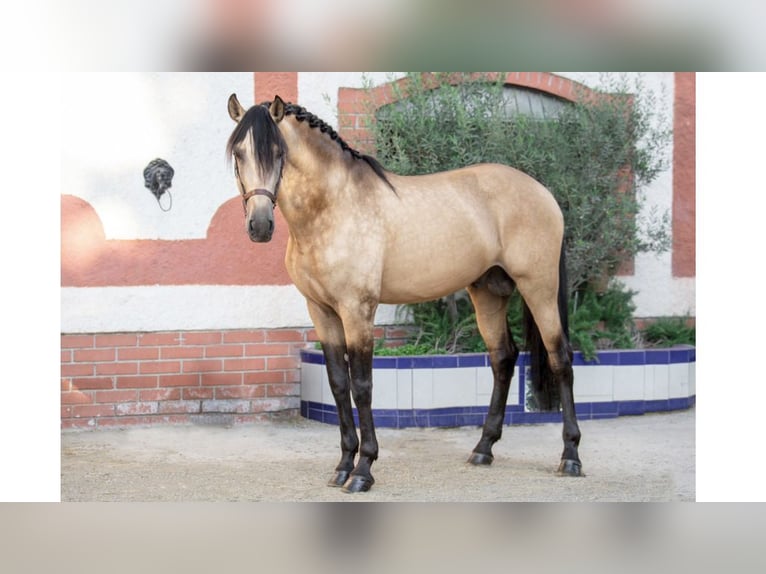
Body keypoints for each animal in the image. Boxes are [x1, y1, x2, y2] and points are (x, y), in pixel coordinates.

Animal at [226, 94, 584, 496]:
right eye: (238, 153)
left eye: (278, 151)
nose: (259, 225)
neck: (332, 206)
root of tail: (543, 192)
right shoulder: (321, 311)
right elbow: (338, 384)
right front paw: (342, 466)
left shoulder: (357, 310)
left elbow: (362, 386)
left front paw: (363, 470)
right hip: (488, 292)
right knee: (503, 358)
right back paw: (483, 449)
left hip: (539, 288)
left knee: (561, 359)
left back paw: (570, 457)